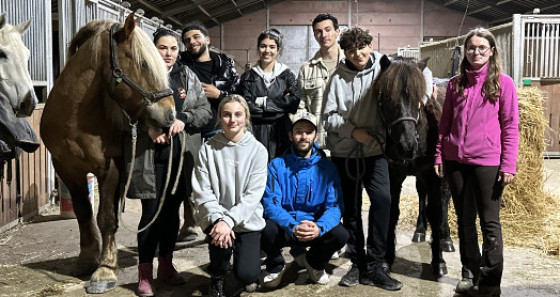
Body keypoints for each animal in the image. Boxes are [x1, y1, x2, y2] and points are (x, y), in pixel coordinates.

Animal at [40, 13, 175, 292]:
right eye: (142, 63)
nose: (170, 115)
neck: (76, 118)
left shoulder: (111, 167)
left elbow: (106, 217)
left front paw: (105, 269)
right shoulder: (67, 169)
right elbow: (83, 213)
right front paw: (86, 259)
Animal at [374, 55, 448, 276]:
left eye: (418, 99)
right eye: (386, 97)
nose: (407, 145)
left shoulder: (433, 176)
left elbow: (436, 212)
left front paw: (438, 261)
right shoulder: (394, 176)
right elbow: (392, 212)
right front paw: (387, 258)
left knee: (444, 199)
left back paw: (446, 239)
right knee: (422, 194)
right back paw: (420, 230)